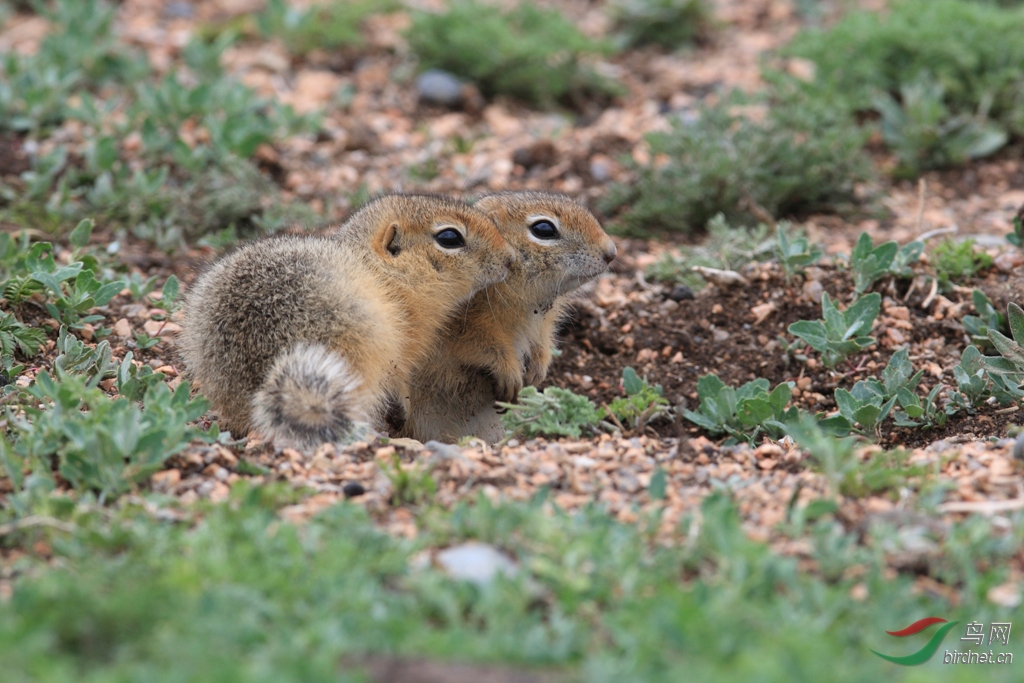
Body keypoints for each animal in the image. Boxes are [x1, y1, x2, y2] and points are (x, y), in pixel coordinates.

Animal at [395, 192, 610, 444]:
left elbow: (542, 343)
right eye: (544, 229)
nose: (612, 252)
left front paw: (538, 369)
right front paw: (510, 374)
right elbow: (485, 348)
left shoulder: (542, 324)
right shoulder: (466, 328)